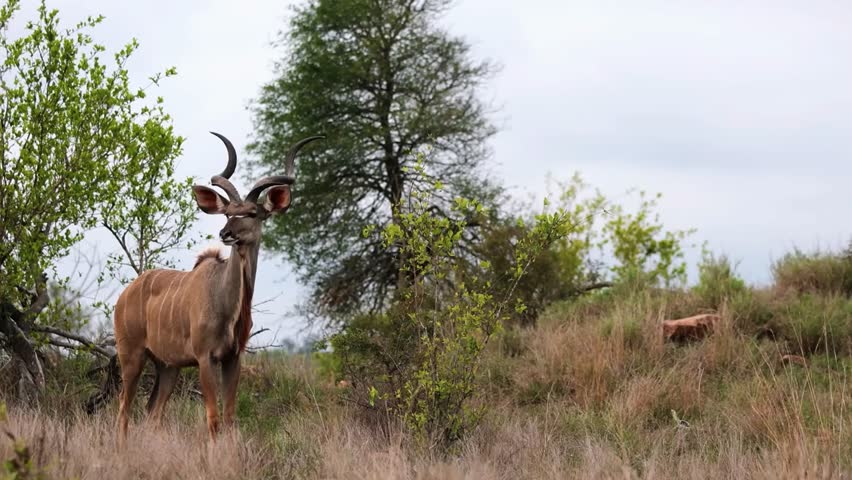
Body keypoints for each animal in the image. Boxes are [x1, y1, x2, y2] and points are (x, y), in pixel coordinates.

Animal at [113, 132, 322, 442]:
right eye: (227, 213)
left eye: (252, 213)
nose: (225, 233)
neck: (226, 302)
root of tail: (124, 295)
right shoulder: (205, 358)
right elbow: (213, 419)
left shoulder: (233, 358)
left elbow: (230, 416)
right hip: (132, 356)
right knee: (123, 411)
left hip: (168, 366)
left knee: (153, 412)